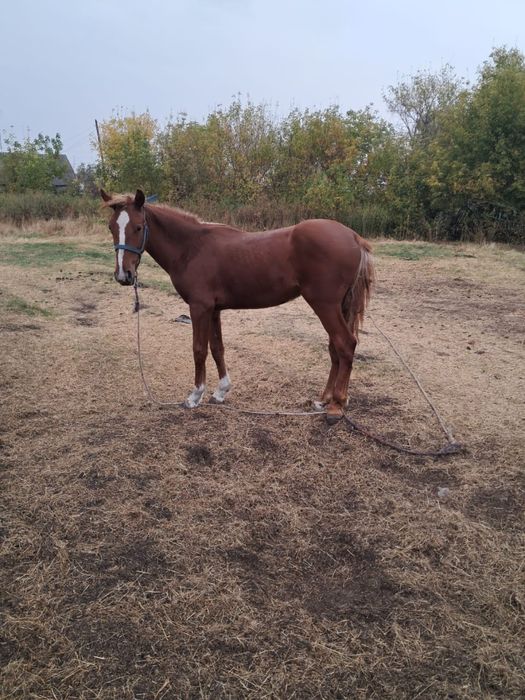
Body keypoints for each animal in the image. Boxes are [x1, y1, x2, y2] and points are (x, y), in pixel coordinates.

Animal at [101, 188, 373, 424]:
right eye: (111, 227)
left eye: (138, 227)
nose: (123, 275)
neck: (192, 247)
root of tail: (353, 237)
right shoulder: (213, 310)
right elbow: (217, 348)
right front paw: (221, 391)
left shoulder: (199, 308)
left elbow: (199, 349)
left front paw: (194, 396)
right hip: (337, 306)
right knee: (334, 348)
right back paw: (324, 400)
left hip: (324, 305)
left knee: (345, 344)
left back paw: (336, 406)